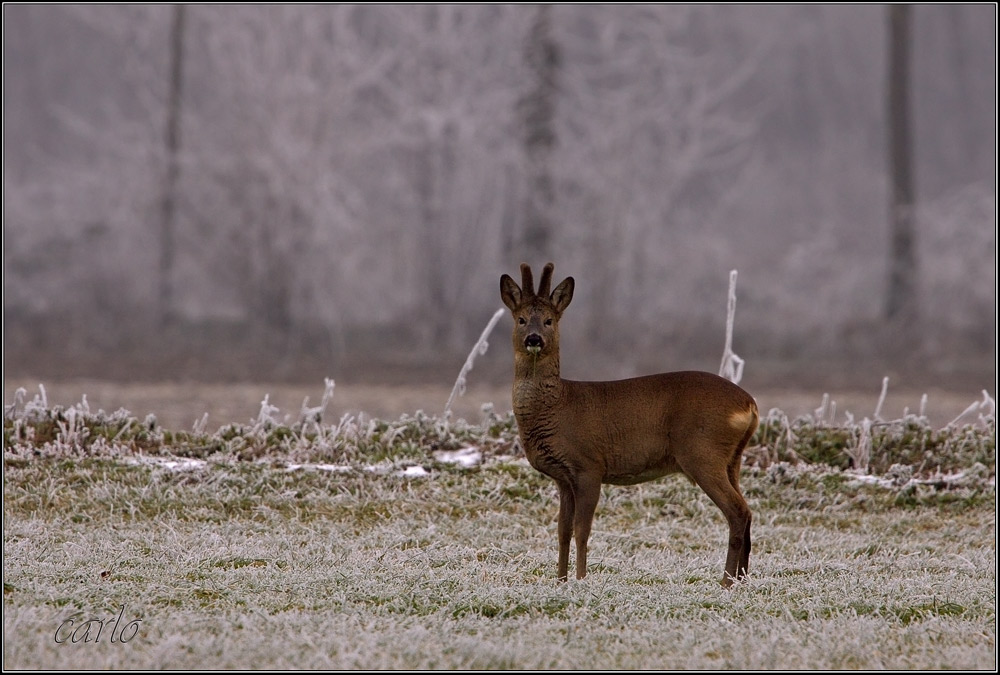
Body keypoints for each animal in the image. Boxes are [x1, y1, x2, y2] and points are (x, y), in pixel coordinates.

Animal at [500, 262, 756, 588]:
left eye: (548, 320)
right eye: (521, 319)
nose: (534, 339)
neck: (557, 408)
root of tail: (750, 404)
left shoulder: (589, 465)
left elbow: (582, 530)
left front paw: (581, 579)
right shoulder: (563, 478)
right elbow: (562, 531)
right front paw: (560, 580)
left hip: (703, 452)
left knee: (737, 511)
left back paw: (726, 582)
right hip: (731, 459)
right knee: (747, 511)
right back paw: (743, 580)